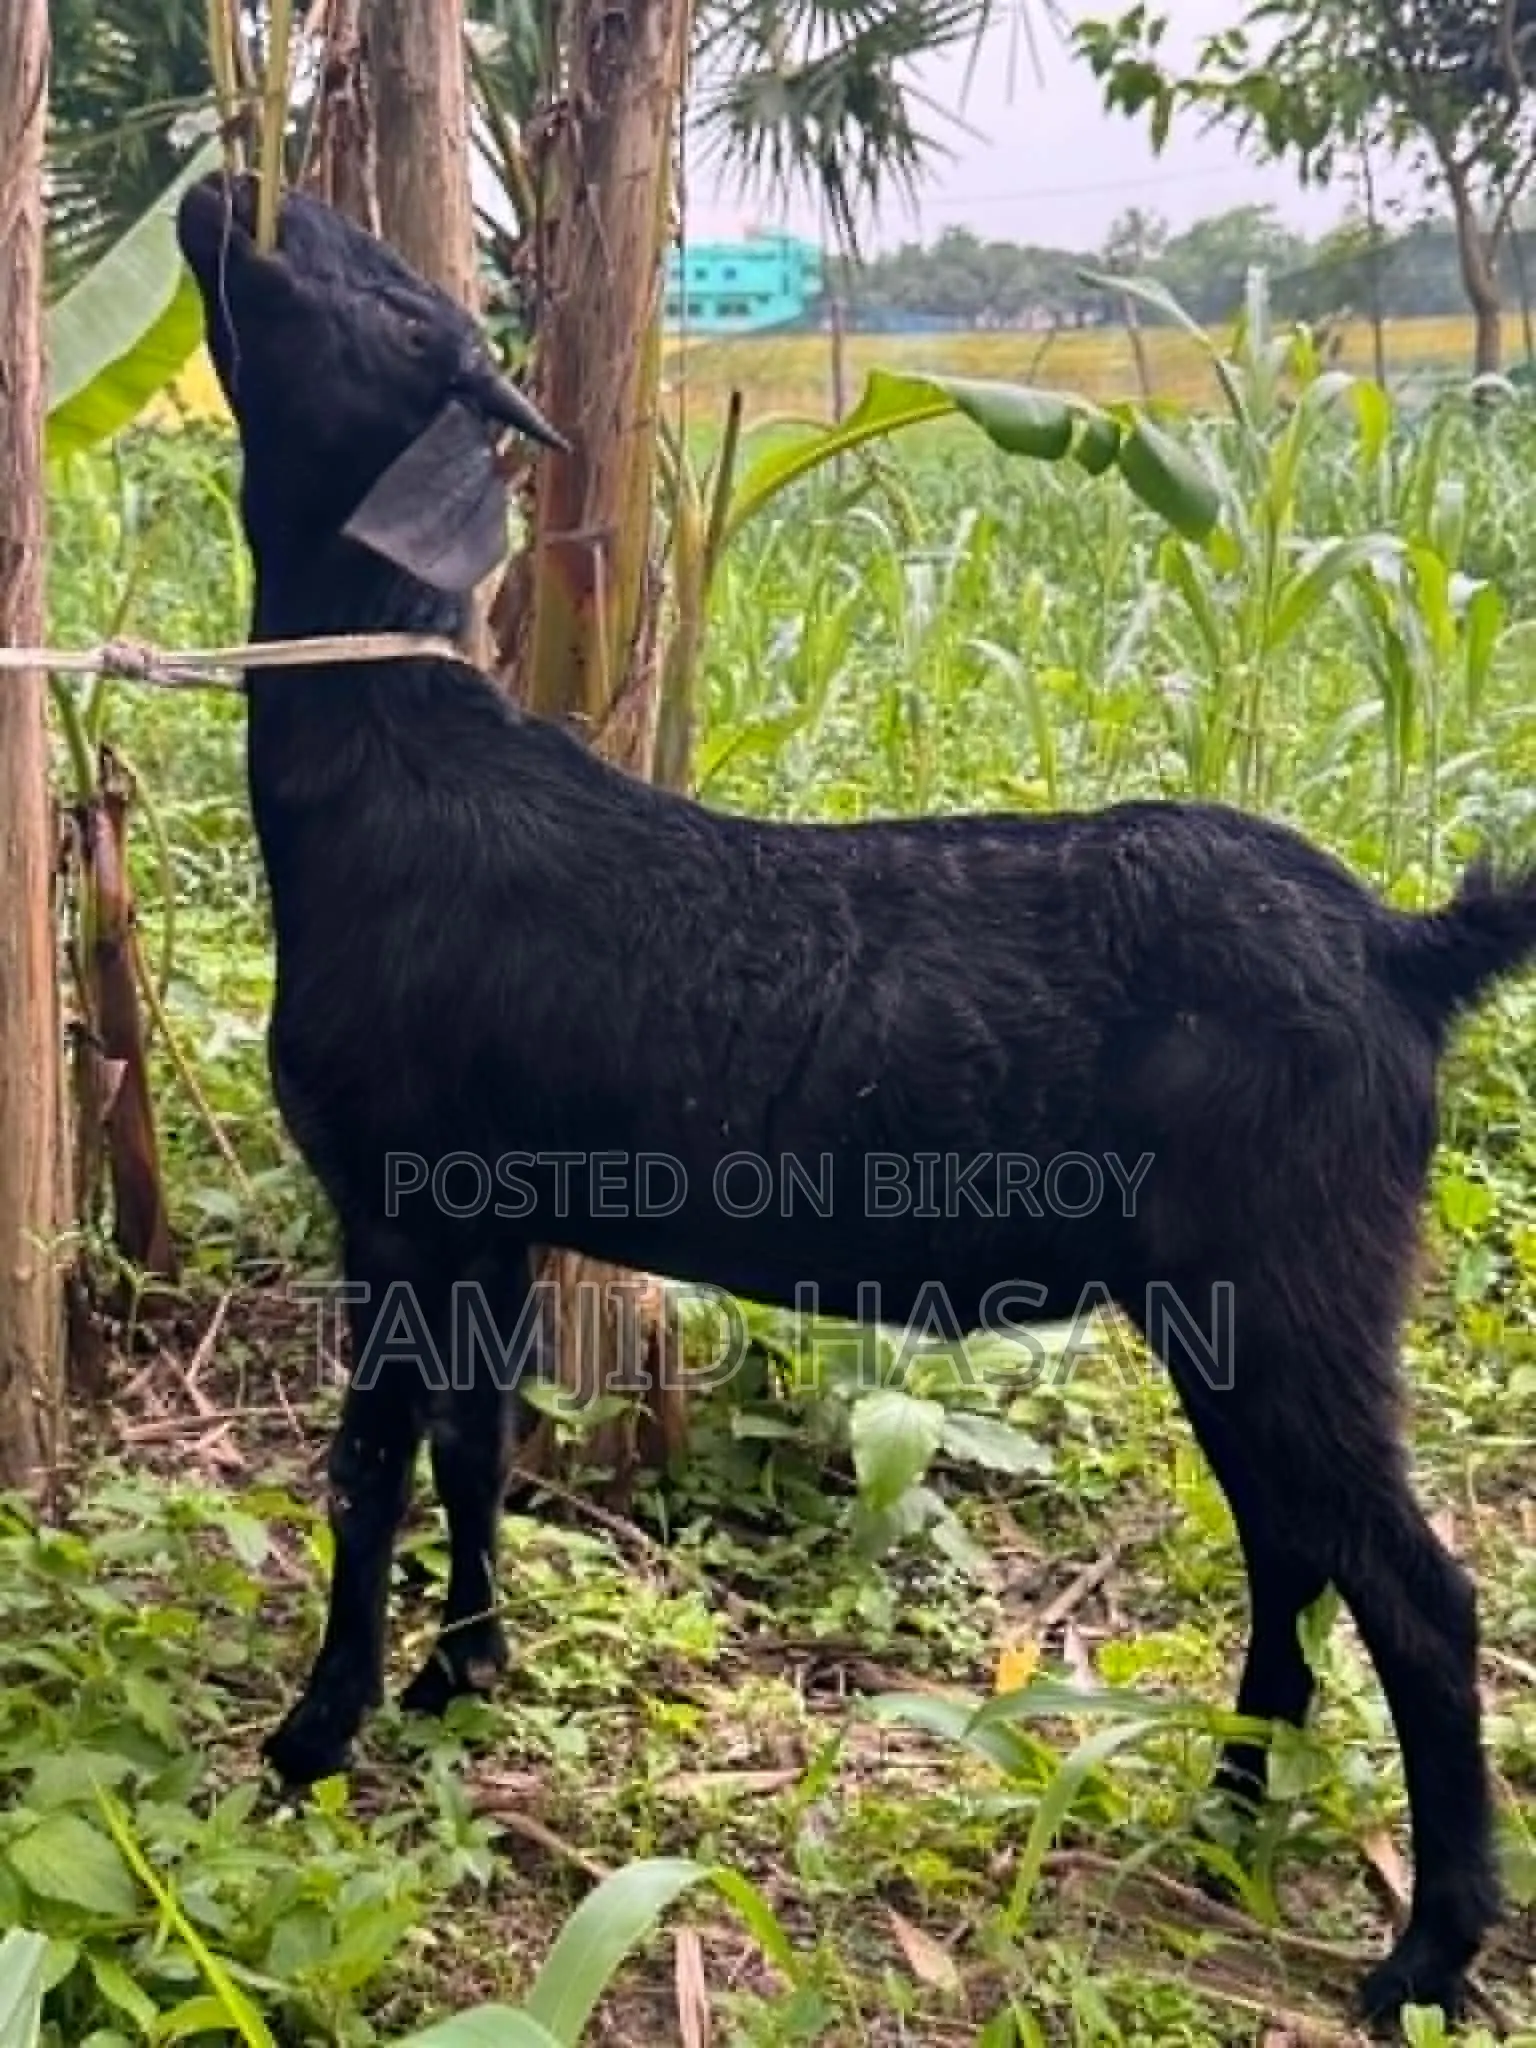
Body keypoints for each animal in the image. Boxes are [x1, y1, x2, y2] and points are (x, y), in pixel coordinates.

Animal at [177, 171, 1530, 2026]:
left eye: (386, 309)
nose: (234, 189)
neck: (396, 769)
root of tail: (1402, 946)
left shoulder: (391, 1198)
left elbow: (369, 1467)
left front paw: (314, 1739)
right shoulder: (495, 1213)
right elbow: (476, 1442)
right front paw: (468, 1675)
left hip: (1295, 1280)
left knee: (1417, 1588)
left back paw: (1426, 1947)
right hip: (1233, 1308)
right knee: (1291, 1543)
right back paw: (1230, 1801)